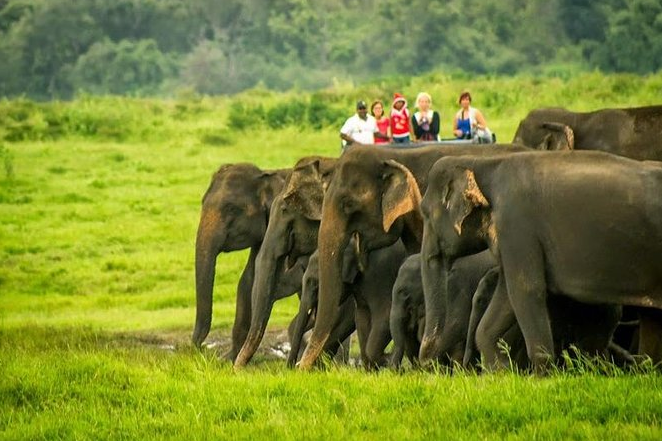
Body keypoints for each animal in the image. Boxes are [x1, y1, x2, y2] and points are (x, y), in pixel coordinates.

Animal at [192, 162, 304, 360]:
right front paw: (228, 360)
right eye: (202, 202)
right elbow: (248, 280)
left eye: (231, 209)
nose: (199, 350)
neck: (266, 174)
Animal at [422, 150, 662, 372]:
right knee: (652, 318)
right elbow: (506, 296)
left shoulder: (517, 227)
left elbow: (526, 290)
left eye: (425, 213)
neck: (483, 162)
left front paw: (541, 379)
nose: (429, 365)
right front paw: (501, 373)